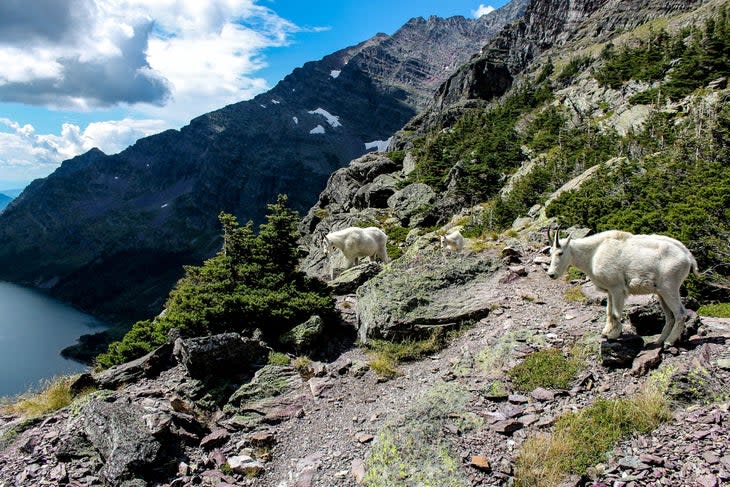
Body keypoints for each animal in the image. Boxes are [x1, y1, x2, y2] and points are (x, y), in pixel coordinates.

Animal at [544, 229, 692, 346]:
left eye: (560, 253)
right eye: (550, 252)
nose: (551, 274)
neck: (593, 254)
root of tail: (688, 257)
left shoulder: (617, 288)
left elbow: (615, 313)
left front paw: (613, 335)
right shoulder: (609, 291)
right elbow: (609, 312)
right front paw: (606, 332)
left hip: (670, 288)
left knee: (680, 314)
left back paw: (669, 342)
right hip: (661, 293)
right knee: (670, 317)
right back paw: (659, 341)